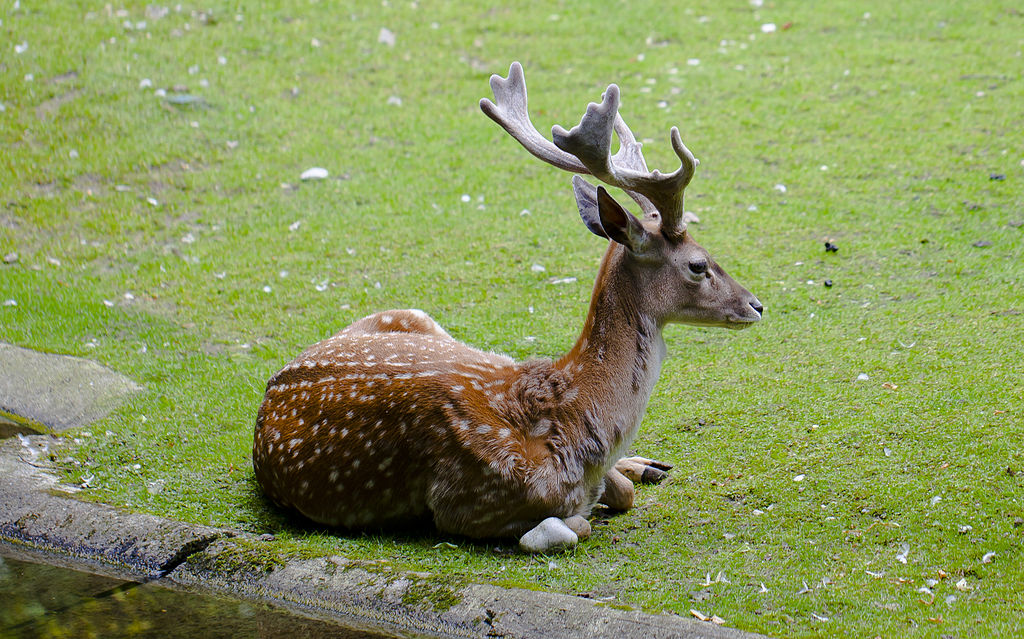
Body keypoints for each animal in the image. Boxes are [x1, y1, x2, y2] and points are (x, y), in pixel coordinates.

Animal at [249, 61, 761, 552]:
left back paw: (646, 463)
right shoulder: (467, 505)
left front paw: (629, 473)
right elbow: (569, 526)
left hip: (415, 315)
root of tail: (274, 381)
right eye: (698, 264)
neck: (572, 423)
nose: (756, 305)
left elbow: (620, 493)